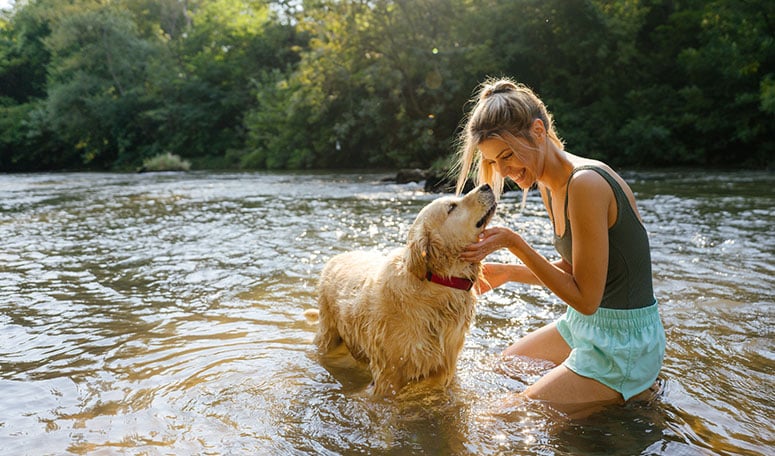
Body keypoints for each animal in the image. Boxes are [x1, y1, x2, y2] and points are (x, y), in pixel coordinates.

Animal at [304, 183, 498, 398]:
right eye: (451, 207)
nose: (486, 185)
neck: (437, 281)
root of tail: (337, 257)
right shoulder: (388, 373)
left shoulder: (445, 365)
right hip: (328, 336)